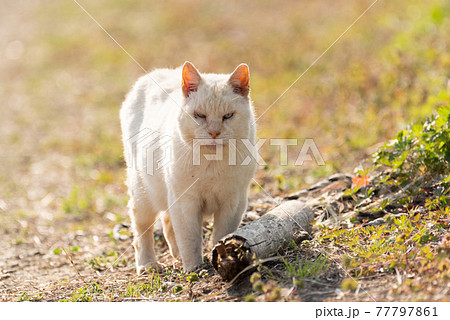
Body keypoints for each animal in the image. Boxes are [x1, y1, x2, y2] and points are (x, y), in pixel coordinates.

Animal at [120, 62, 256, 272]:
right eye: (199, 116)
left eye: (228, 116)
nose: (214, 132)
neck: (212, 164)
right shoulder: (186, 203)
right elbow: (190, 240)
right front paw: (194, 269)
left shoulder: (233, 203)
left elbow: (221, 235)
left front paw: (223, 258)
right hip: (144, 197)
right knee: (142, 234)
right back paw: (148, 265)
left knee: (167, 223)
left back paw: (176, 255)